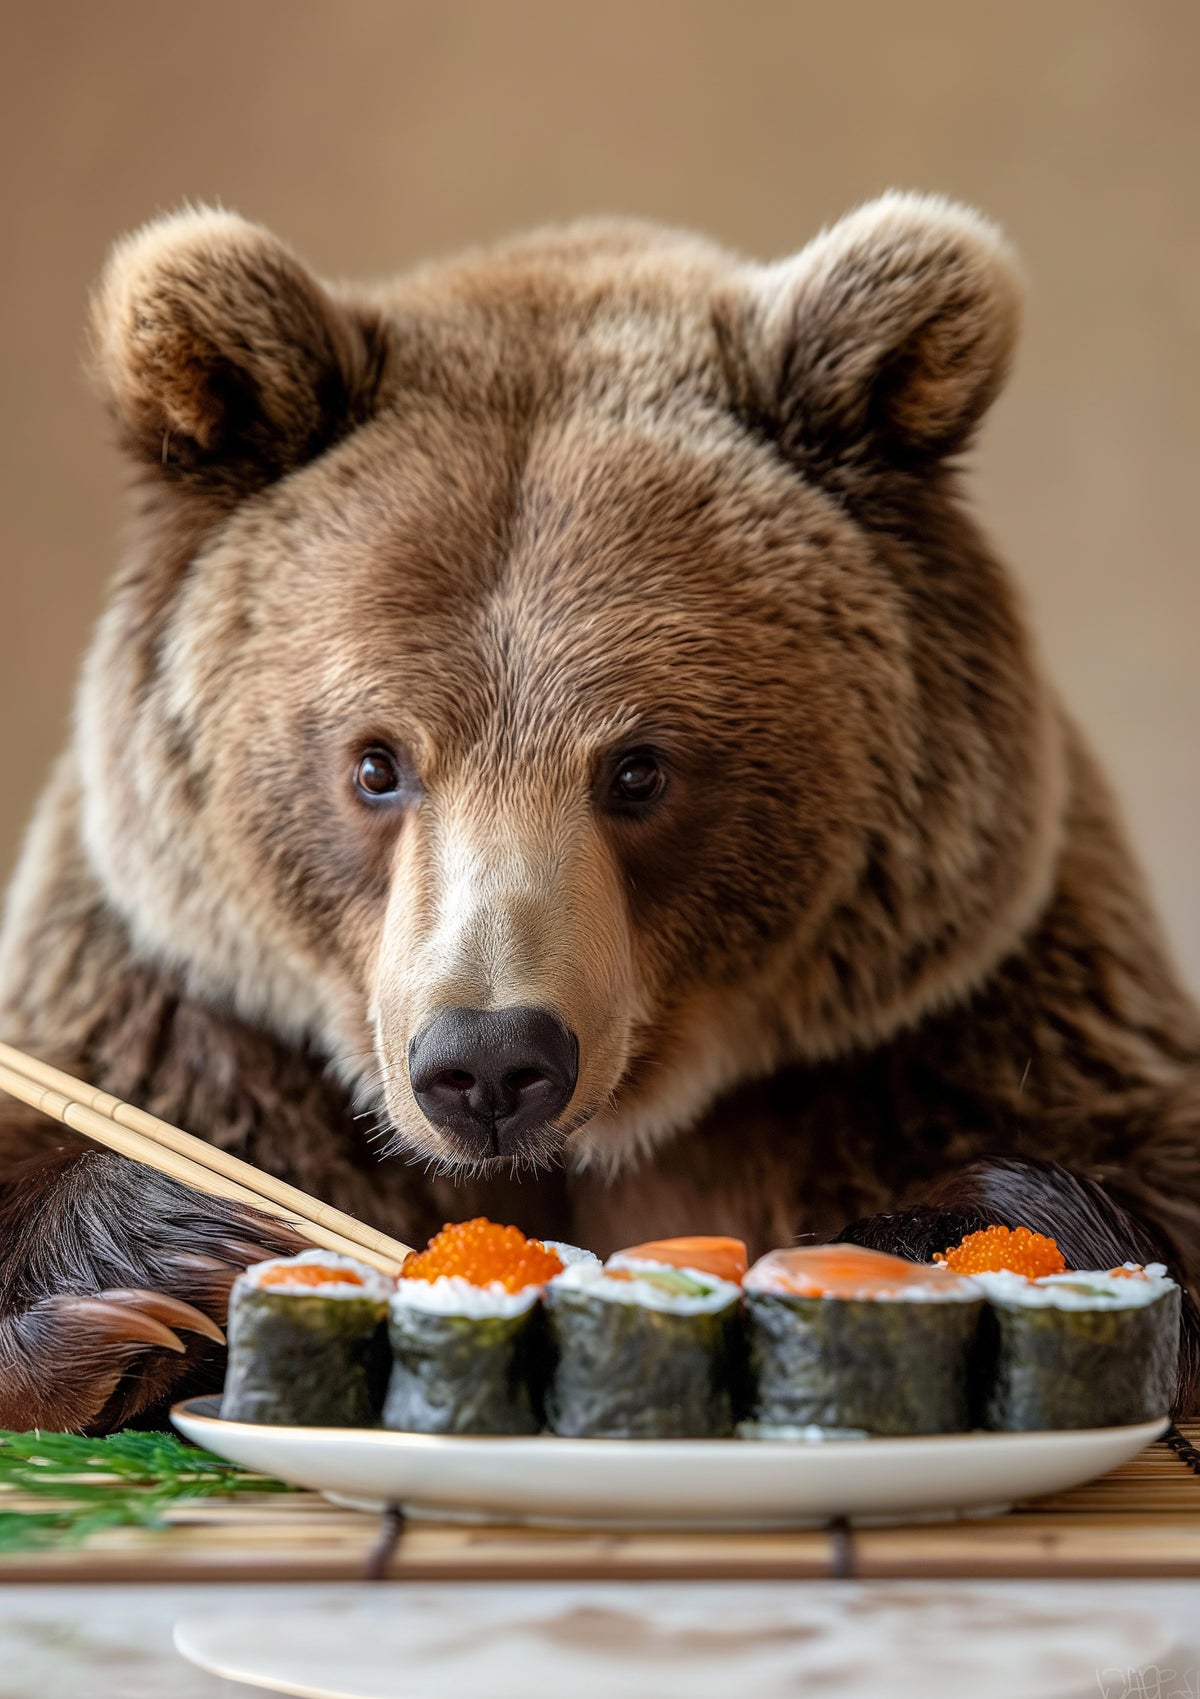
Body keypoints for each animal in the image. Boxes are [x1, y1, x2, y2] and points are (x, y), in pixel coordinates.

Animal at [1, 193, 1198, 1433]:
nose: (488, 1060)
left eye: (638, 770)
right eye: (377, 764)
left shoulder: (953, 1020)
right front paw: (178, 1246)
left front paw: (930, 1245)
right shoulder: (189, 1010)